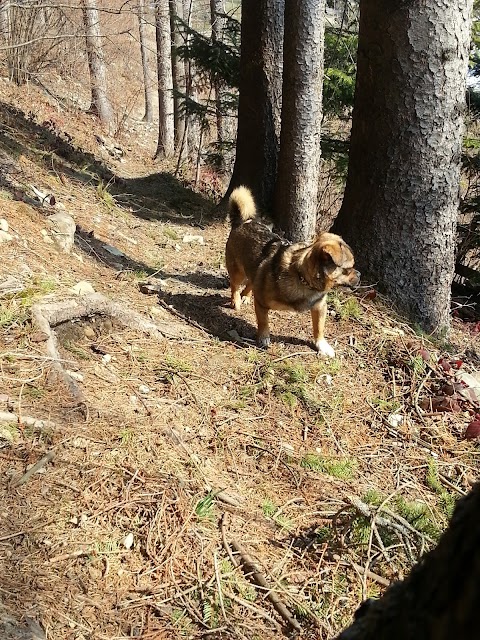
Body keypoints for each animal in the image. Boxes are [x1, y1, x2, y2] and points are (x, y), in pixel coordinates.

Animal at [225, 185, 360, 358]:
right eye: (348, 269)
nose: (359, 275)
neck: (303, 279)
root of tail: (242, 222)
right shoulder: (261, 303)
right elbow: (263, 322)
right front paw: (263, 337)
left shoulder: (319, 307)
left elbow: (319, 328)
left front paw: (322, 345)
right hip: (238, 271)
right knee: (235, 285)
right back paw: (236, 301)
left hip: (252, 269)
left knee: (250, 281)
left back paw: (246, 297)